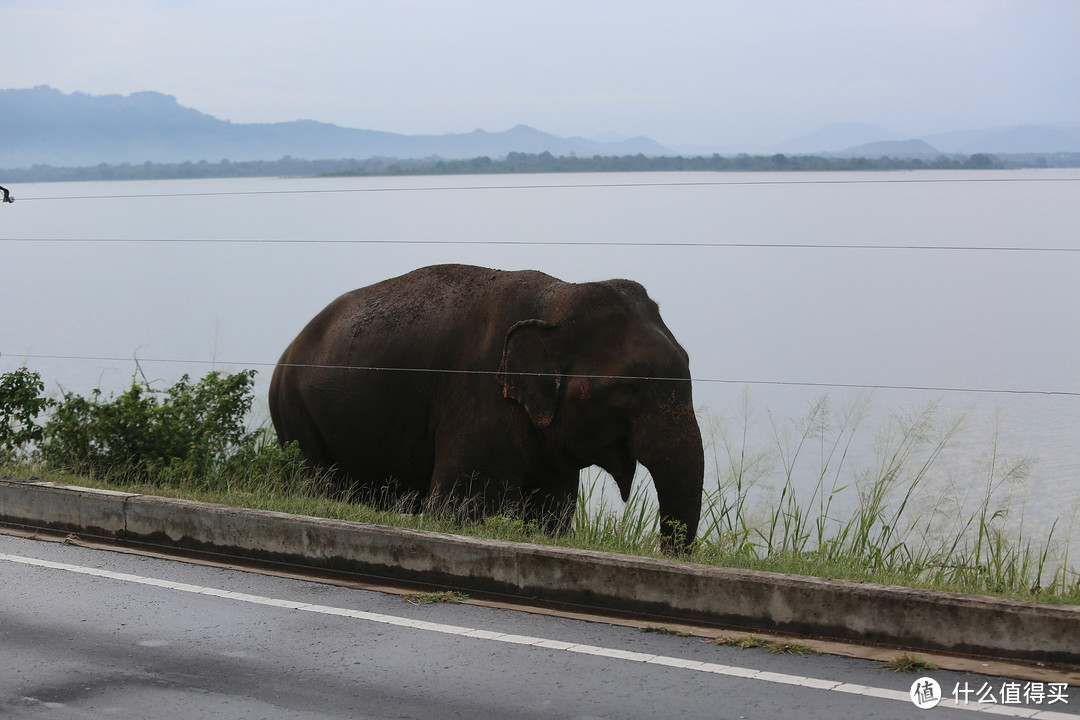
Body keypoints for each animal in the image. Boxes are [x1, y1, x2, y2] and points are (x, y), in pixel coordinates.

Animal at [268, 264, 704, 552]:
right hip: (294, 414)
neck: (557, 300)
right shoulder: (476, 398)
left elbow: (552, 514)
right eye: (630, 387)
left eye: (688, 364)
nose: (669, 553)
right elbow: (459, 510)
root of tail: (288, 349)